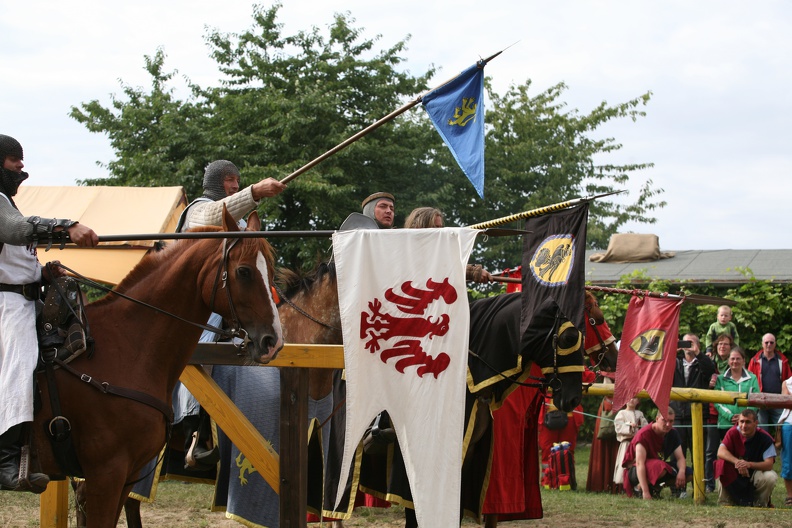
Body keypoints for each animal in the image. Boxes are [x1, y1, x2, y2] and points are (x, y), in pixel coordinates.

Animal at [31, 208, 284, 524]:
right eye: (244, 271)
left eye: (271, 272)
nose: (273, 341)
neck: (127, 346)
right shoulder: (106, 474)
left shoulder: (126, 475)